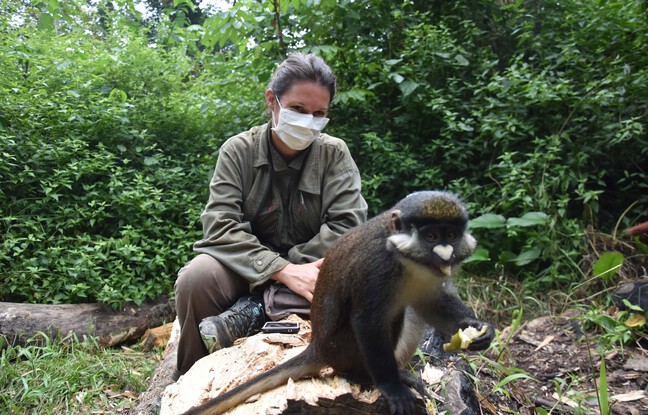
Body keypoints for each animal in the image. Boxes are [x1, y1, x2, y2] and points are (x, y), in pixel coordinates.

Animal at [182, 192, 496, 415]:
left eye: (451, 235)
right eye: (431, 235)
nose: (444, 253)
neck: (407, 259)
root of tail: (319, 346)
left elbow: (432, 303)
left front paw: (478, 330)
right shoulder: (377, 268)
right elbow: (368, 320)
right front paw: (392, 388)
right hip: (343, 347)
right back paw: (364, 376)